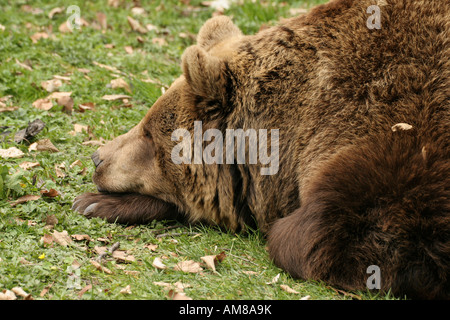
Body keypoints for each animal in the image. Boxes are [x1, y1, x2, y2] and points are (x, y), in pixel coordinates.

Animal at [72, 0, 448, 300]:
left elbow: (318, 237)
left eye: (150, 134)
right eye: (145, 125)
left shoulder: (397, 149)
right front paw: (94, 202)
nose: (98, 157)